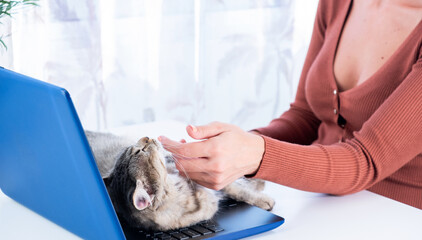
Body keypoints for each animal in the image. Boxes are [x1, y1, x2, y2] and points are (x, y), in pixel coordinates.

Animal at [87, 130, 276, 232]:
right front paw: (265, 198)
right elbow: (237, 187)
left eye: (132, 149)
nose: (146, 137)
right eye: (140, 151)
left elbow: (237, 188)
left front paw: (260, 192)